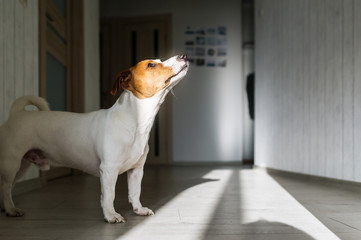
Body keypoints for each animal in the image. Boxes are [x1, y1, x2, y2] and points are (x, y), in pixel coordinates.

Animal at [0, 54, 190, 223]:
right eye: (151, 65)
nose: (183, 55)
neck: (135, 120)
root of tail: (17, 114)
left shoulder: (137, 169)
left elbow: (135, 192)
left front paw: (138, 209)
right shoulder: (109, 170)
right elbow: (109, 196)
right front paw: (111, 216)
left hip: (21, 166)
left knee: (6, 187)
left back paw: (6, 208)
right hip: (11, 163)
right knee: (6, 186)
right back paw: (10, 208)